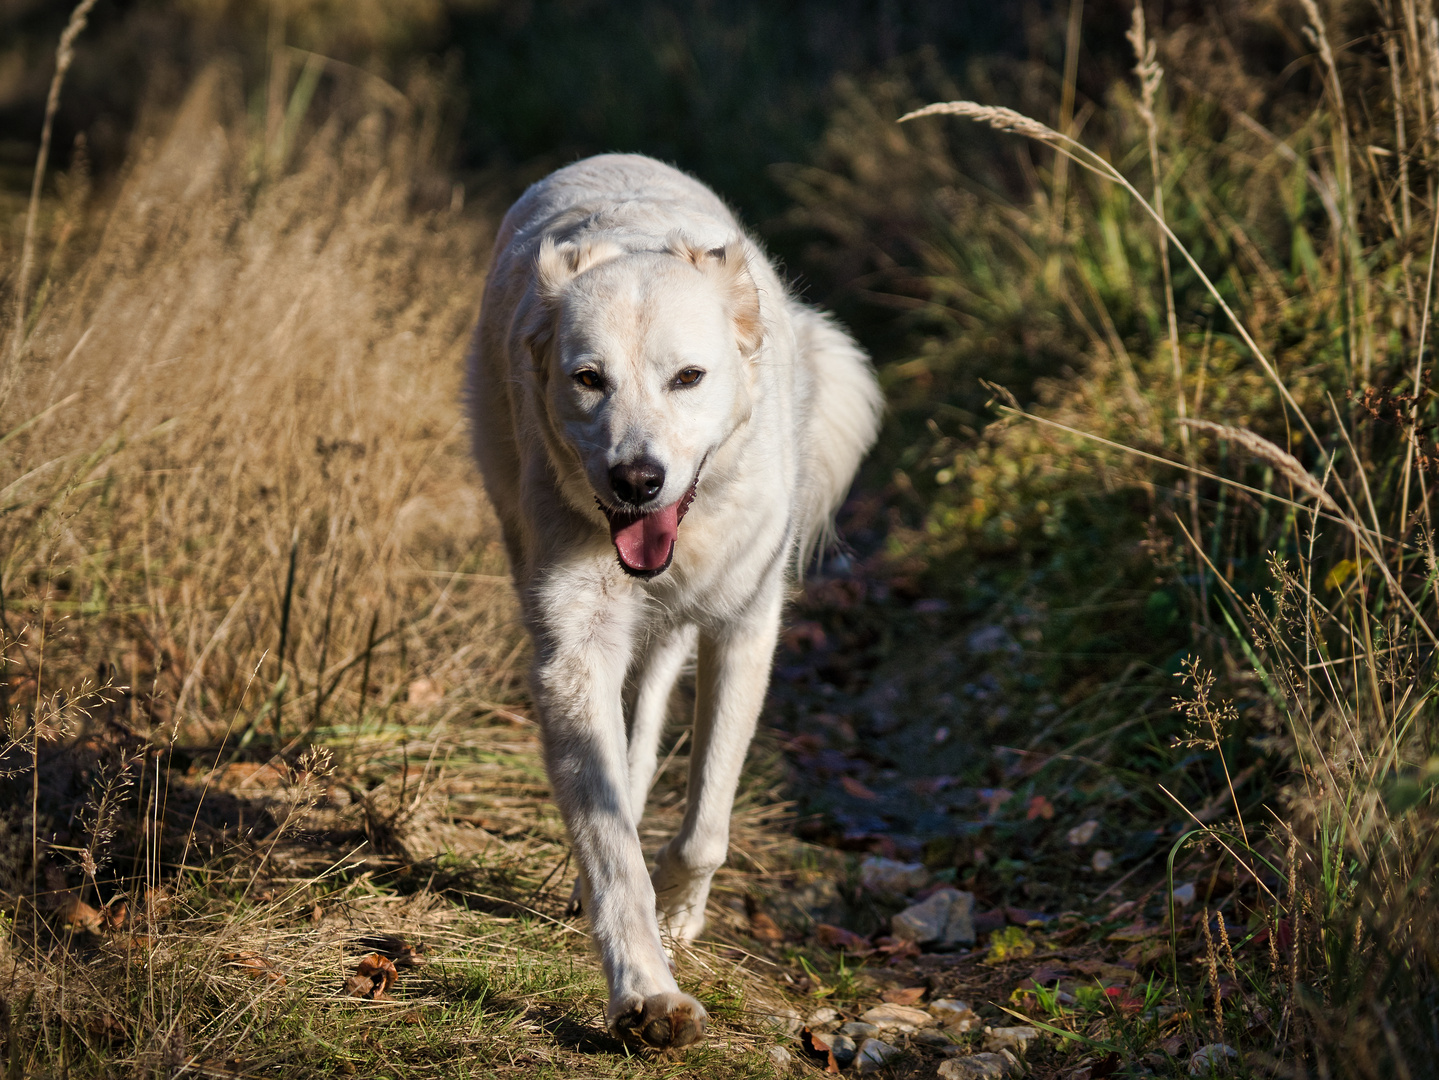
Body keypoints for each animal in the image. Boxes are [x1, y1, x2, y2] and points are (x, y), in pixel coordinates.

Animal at [466, 156, 880, 1052]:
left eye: (687, 378)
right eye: (588, 380)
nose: (635, 480)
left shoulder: (743, 631)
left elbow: (705, 826)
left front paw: (680, 915)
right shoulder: (572, 649)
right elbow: (610, 842)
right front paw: (645, 995)